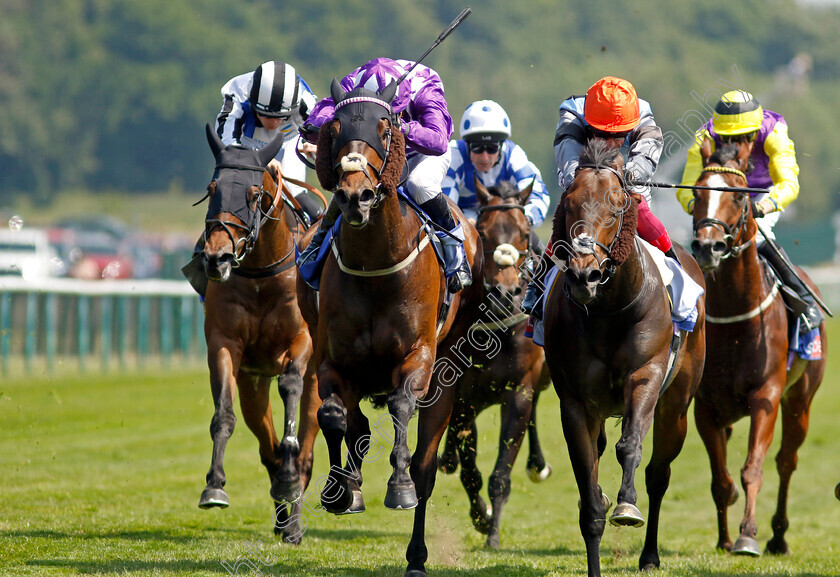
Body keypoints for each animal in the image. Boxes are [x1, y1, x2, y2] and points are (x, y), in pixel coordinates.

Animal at [197, 124, 316, 544]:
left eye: (253, 193)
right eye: (212, 188)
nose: (217, 258)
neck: (263, 276)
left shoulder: (302, 342)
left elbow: (291, 386)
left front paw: (289, 483)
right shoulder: (224, 346)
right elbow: (223, 415)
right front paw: (214, 486)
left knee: (305, 448)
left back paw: (292, 518)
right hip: (253, 385)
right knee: (268, 446)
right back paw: (282, 513)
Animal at [306, 81, 482, 576]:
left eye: (386, 129)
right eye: (335, 128)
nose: (356, 196)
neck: (375, 266)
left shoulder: (417, 356)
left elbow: (403, 407)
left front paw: (396, 486)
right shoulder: (333, 361)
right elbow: (334, 417)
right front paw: (341, 491)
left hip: (445, 379)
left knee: (425, 466)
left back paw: (416, 554)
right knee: (357, 425)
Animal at [436, 178, 556, 548]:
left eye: (525, 232)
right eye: (484, 233)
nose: (504, 293)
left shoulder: (519, 390)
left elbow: (501, 472)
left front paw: (493, 536)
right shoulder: (463, 398)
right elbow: (470, 471)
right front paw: (481, 517)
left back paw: (537, 463)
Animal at [540, 140, 704, 576]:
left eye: (617, 207)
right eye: (570, 205)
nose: (584, 275)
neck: (608, 311)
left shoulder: (645, 375)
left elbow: (630, 445)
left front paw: (627, 506)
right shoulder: (576, 402)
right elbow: (589, 495)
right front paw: (597, 506)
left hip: (677, 404)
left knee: (659, 473)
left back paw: (649, 555)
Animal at [688, 138, 828, 552]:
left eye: (739, 196)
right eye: (697, 193)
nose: (708, 247)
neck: (736, 318)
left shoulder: (767, 395)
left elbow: (753, 468)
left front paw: (748, 535)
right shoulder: (705, 406)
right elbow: (721, 481)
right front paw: (724, 539)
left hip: (800, 399)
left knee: (786, 461)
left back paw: (778, 536)